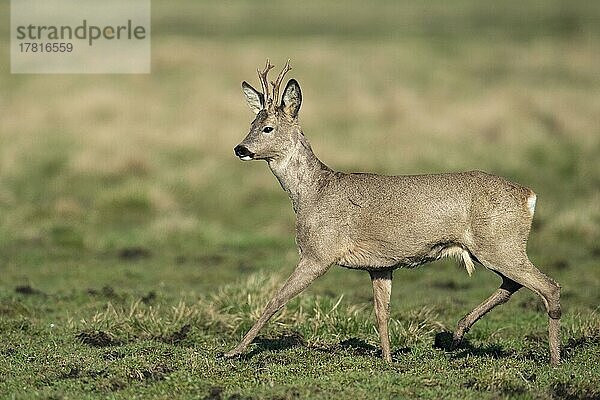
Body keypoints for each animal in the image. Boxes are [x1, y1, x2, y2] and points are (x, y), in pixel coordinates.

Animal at [227, 60, 560, 366]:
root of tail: (528, 195)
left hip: (499, 243)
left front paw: (233, 351)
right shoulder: (380, 265)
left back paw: (554, 358)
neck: (313, 192)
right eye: (251, 123)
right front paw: (387, 359)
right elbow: (381, 311)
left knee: (548, 287)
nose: (240, 148)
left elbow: (276, 299)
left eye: (268, 127)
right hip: (494, 246)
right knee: (513, 285)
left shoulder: (319, 252)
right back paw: (457, 333)